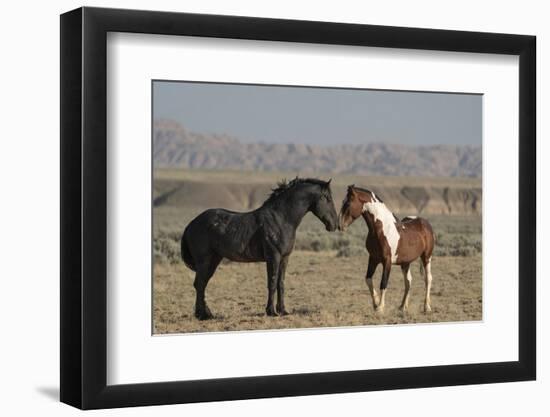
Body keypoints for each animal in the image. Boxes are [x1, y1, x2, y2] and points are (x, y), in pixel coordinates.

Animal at [181, 176, 338, 318]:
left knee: (202, 284)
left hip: (214, 260)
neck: (281, 219)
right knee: (200, 284)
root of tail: (191, 223)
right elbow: (272, 282)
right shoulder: (273, 257)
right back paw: (202, 315)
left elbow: (281, 283)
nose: (334, 224)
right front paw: (271, 312)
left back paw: (207, 313)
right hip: (205, 261)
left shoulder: (284, 258)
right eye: (327, 198)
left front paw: (283, 310)